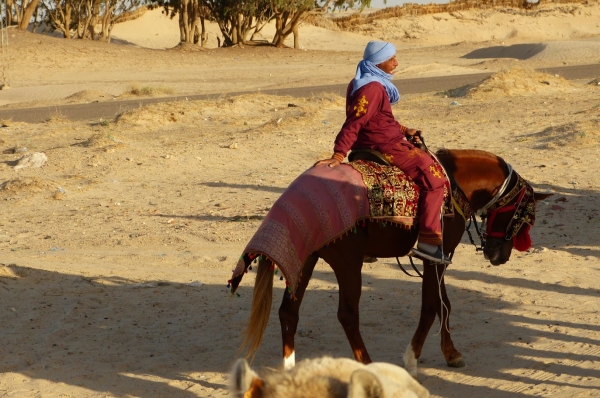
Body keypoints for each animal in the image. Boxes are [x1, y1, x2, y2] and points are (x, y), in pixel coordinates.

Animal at [230, 148, 552, 378]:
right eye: (524, 217)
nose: (499, 256)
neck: (456, 183)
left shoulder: (438, 257)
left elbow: (444, 303)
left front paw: (451, 353)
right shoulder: (436, 257)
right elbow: (431, 306)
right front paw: (411, 358)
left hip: (306, 260)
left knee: (288, 312)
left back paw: (291, 369)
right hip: (348, 263)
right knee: (347, 315)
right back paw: (368, 365)